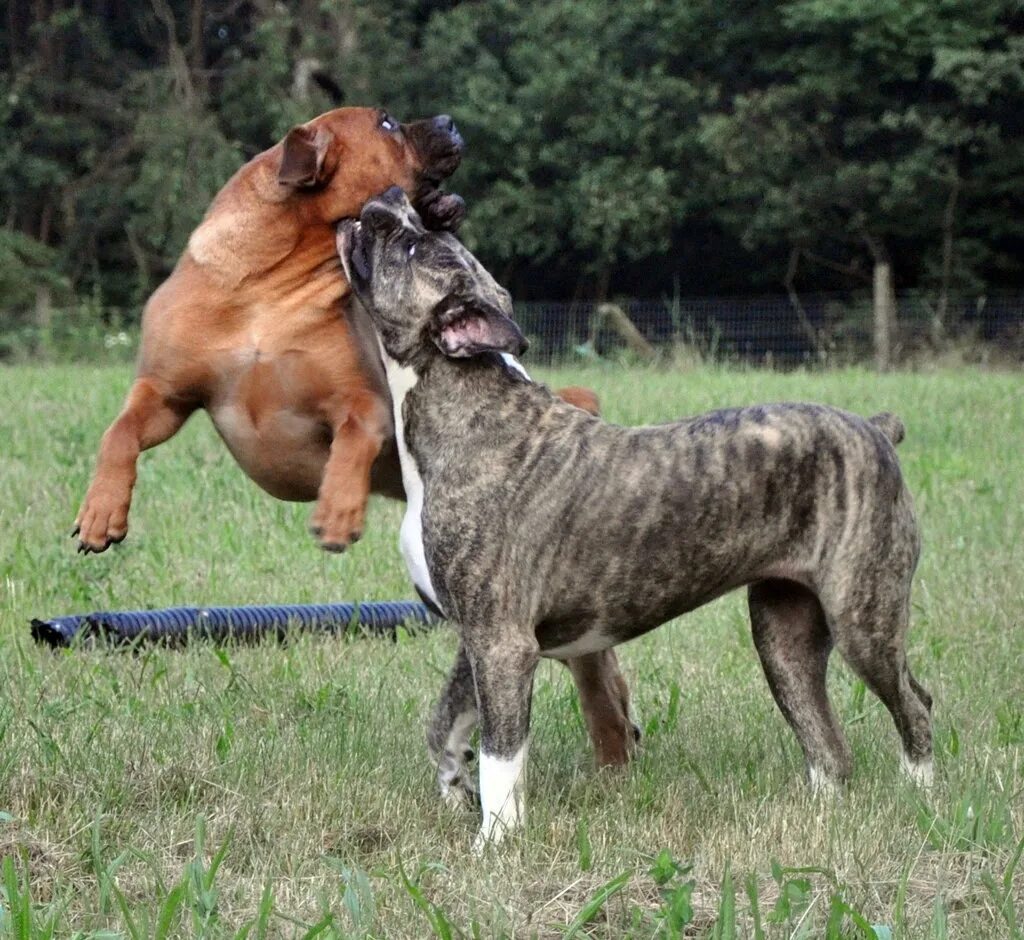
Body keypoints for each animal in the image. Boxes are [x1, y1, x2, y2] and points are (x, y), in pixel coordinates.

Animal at [337, 187, 937, 851]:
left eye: (413, 245)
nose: (386, 198)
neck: (463, 404)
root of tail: (875, 429)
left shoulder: (503, 644)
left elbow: (502, 757)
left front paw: (493, 843)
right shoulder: (478, 641)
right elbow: (444, 725)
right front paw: (453, 788)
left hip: (864, 621)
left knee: (916, 704)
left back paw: (920, 796)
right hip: (784, 637)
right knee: (828, 745)